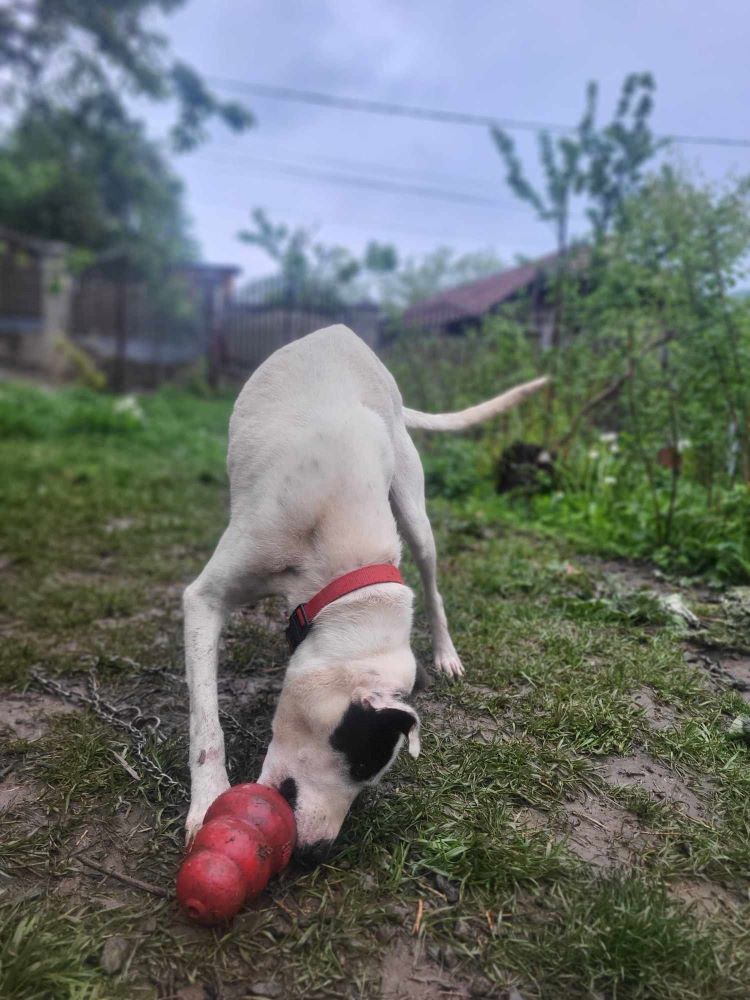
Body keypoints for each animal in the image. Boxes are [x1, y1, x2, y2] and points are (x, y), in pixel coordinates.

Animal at [182, 326, 548, 860]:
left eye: (367, 776)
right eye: (357, 760)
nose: (317, 852)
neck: (345, 568)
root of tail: (337, 332)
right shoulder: (204, 600)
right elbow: (206, 722)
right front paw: (207, 801)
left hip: (414, 510)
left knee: (433, 586)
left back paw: (447, 653)